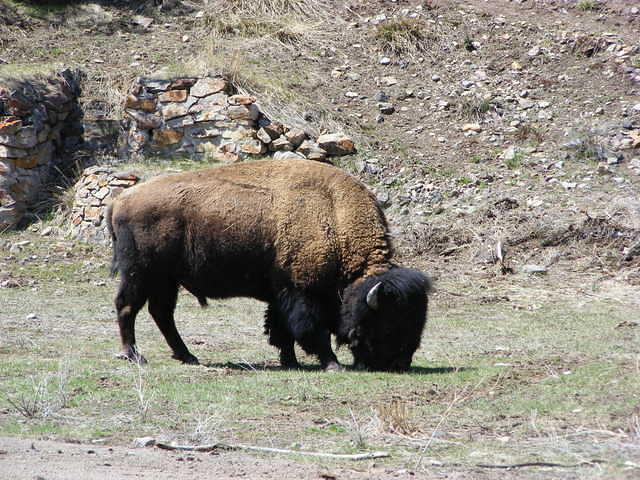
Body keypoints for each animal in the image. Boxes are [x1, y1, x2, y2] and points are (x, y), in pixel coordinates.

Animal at [107, 158, 432, 372]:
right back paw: (135, 356)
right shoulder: (302, 292)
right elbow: (312, 330)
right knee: (128, 307)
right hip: (141, 273)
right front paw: (332, 364)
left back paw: (187, 356)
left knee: (161, 313)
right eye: (388, 323)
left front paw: (290, 362)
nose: (400, 364)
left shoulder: (280, 294)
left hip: (166, 279)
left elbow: (281, 330)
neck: (334, 216)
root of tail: (122, 199)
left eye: (418, 321)